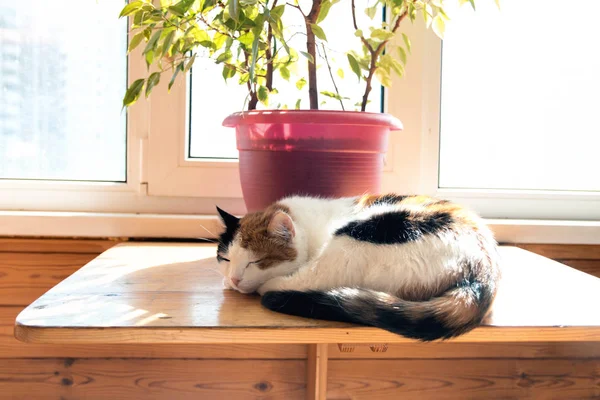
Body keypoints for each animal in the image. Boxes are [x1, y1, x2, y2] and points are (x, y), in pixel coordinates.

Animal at [216, 194, 502, 340]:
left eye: (255, 262)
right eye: (226, 259)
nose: (234, 280)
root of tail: (482, 272)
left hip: (363, 234)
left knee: (307, 280)